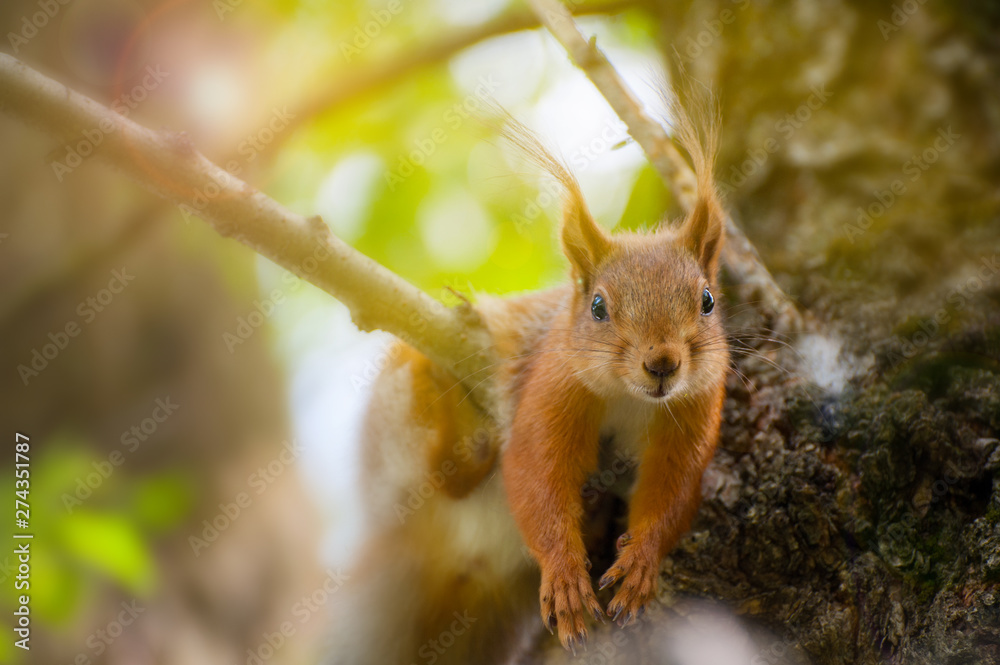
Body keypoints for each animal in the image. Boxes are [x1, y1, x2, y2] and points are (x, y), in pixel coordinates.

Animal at [325, 104, 729, 664]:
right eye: (598, 307)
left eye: (707, 300)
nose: (663, 363)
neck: (629, 398)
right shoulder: (549, 388)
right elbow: (535, 473)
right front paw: (564, 575)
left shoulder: (693, 413)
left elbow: (674, 491)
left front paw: (642, 561)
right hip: (394, 425)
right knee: (443, 471)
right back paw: (460, 427)